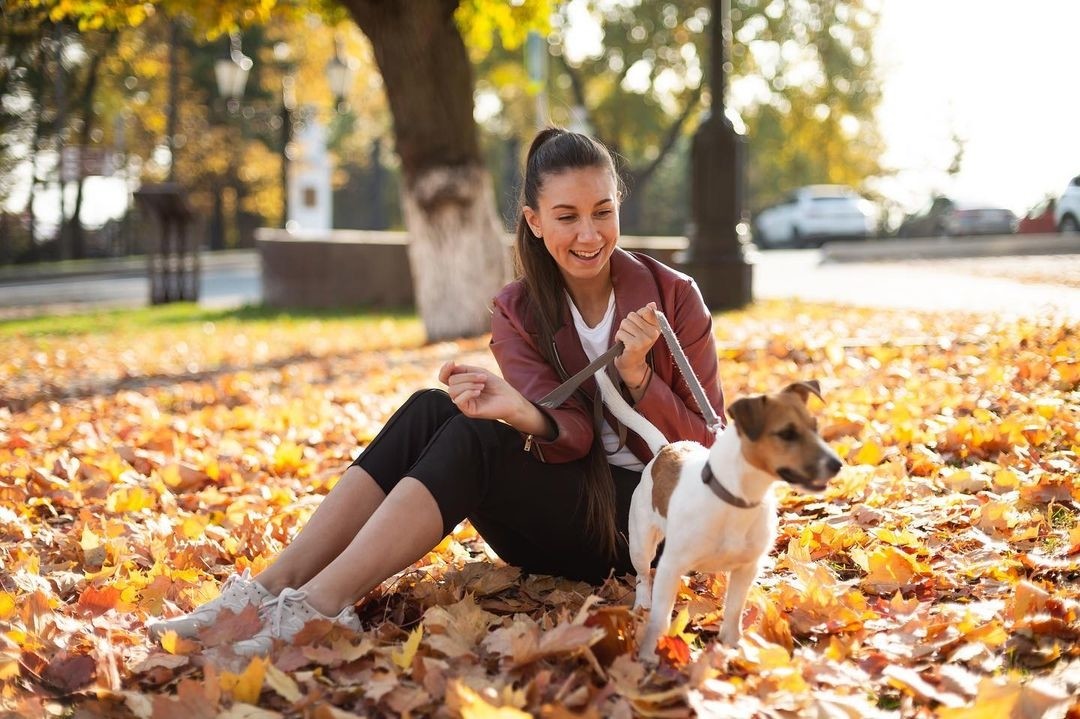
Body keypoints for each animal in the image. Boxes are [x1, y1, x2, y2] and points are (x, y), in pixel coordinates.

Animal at [596, 371, 838, 656]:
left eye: (815, 428)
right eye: (786, 433)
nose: (837, 464)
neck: (736, 500)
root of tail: (665, 450)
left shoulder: (747, 569)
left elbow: (733, 611)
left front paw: (733, 647)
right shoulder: (669, 566)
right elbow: (660, 618)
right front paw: (650, 653)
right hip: (641, 544)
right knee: (643, 576)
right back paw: (642, 605)